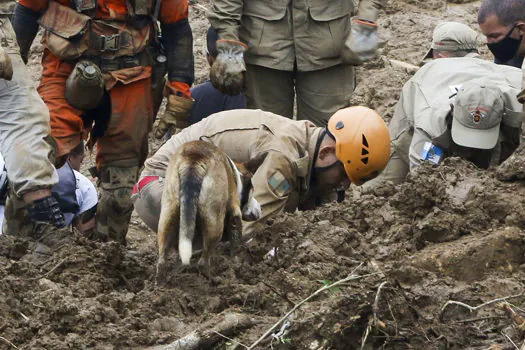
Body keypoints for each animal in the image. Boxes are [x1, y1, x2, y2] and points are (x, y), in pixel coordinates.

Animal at [154, 139, 264, 282]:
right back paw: (213, 279)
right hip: (215, 223)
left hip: (168, 215)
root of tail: (194, 160)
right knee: (202, 262)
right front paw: (236, 263)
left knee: (162, 259)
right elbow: (235, 240)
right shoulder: (235, 212)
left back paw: (160, 284)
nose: (260, 209)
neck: (235, 175)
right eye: (252, 190)